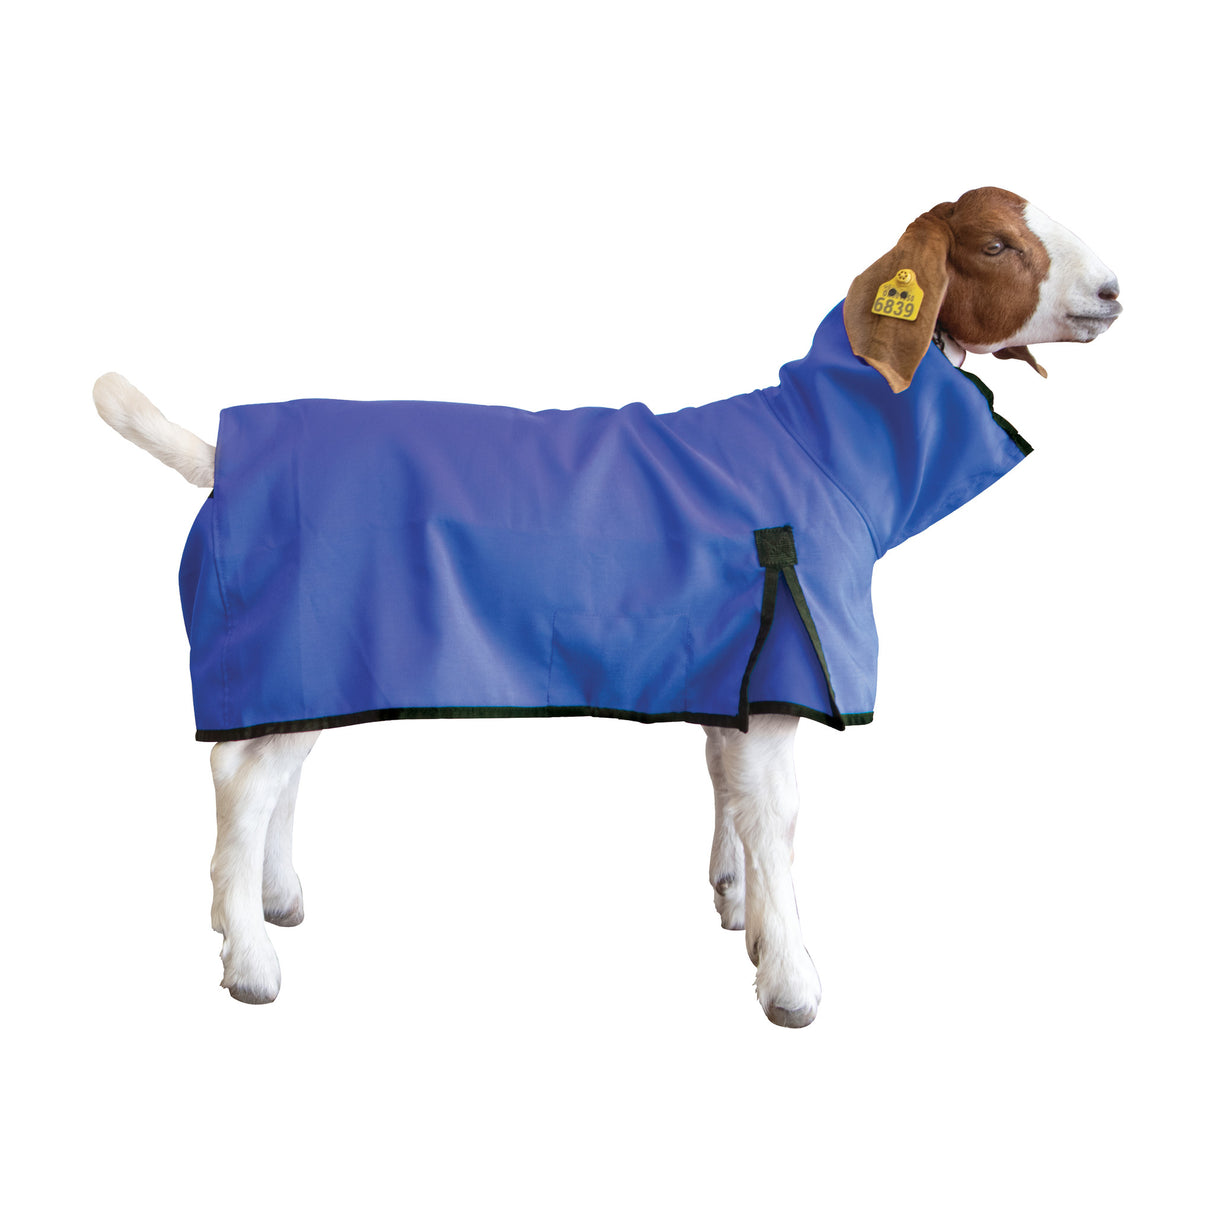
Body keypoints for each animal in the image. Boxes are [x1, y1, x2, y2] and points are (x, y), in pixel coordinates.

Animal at [94, 187, 1120, 1025]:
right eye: (995, 243)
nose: (1113, 289)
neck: (819, 446)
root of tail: (222, 456)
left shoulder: (738, 670)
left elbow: (731, 793)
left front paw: (740, 914)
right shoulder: (789, 663)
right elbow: (780, 822)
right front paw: (792, 982)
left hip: (309, 656)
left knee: (273, 771)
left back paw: (274, 901)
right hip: (289, 636)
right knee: (241, 783)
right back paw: (250, 960)